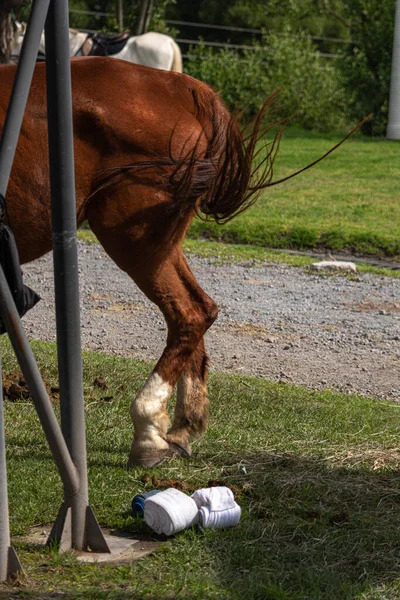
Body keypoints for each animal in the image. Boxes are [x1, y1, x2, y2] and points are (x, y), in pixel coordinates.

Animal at [0, 56, 340, 468]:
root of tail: (179, 87)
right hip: (160, 242)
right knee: (199, 309)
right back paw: (181, 426)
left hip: (133, 238)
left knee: (189, 312)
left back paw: (148, 430)